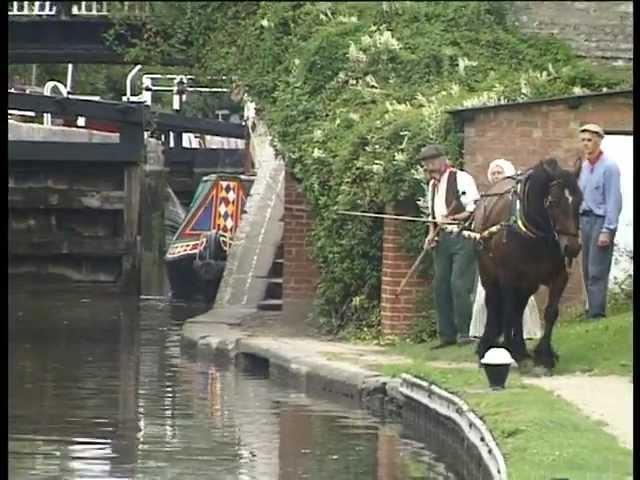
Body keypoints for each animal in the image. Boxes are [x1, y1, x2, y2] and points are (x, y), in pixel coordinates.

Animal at [472, 158, 584, 372]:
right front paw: (511, 351)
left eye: (580, 201)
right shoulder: (508, 276)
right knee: (496, 305)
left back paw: (521, 349)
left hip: (528, 283)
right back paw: (489, 347)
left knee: (519, 308)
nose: (573, 248)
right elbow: (508, 311)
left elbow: (551, 312)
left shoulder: (560, 276)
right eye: (552, 201)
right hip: (489, 274)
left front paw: (545, 356)